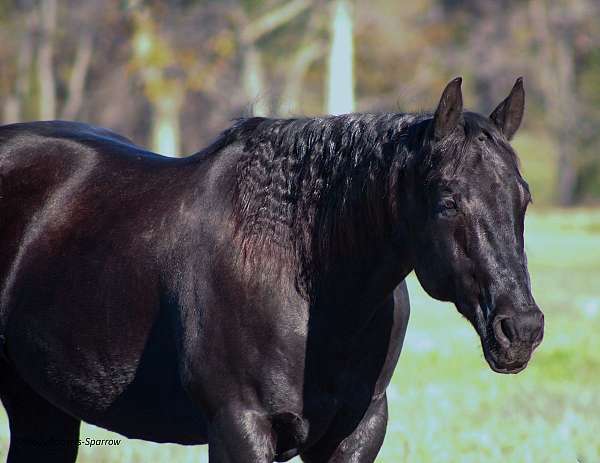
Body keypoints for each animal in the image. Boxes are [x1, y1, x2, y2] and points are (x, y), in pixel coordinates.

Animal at [0, 78, 544, 462]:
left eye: (524, 197)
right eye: (448, 201)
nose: (521, 330)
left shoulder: (356, 434)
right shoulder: (240, 429)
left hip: (41, 408)